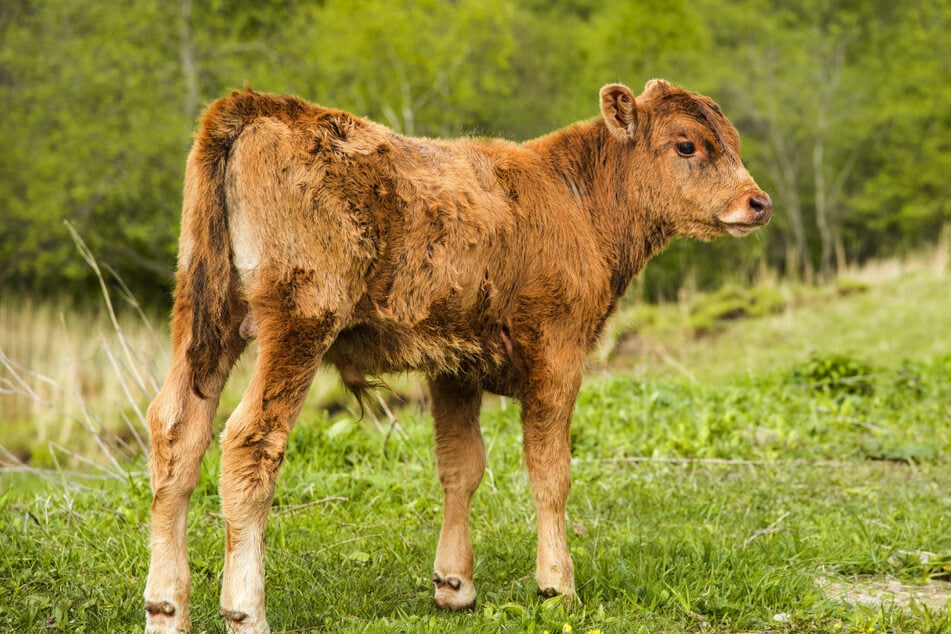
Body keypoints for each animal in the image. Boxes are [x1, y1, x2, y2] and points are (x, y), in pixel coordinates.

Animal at [147, 80, 772, 632]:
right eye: (688, 144)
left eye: (733, 140)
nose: (758, 202)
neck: (578, 203)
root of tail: (261, 106)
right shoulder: (558, 352)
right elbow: (550, 471)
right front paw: (557, 584)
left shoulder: (453, 363)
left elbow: (460, 466)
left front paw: (454, 584)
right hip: (300, 318)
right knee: (249, 439)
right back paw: (244, 610)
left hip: (204, 317)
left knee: (178, 428)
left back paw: (166, 607)